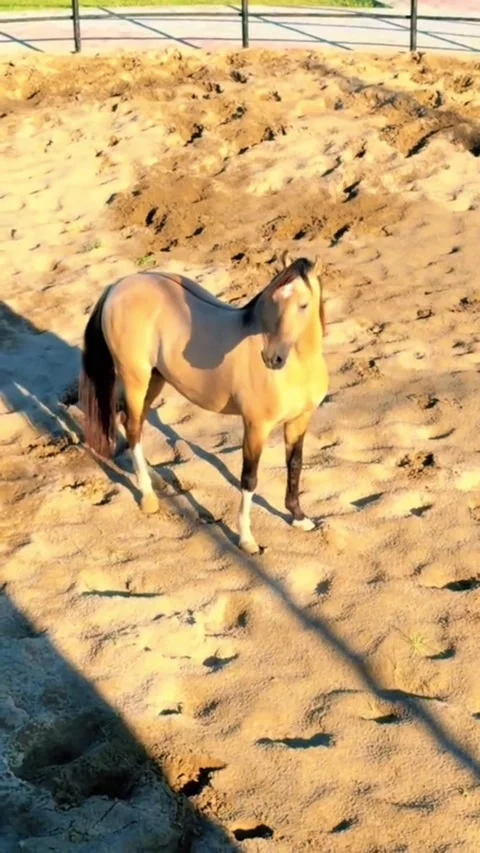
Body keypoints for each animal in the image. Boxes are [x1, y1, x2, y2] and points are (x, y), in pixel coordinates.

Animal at [80, 253, 328, 555]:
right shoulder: (256, 426)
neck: (299, 367)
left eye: (303, 305)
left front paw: (300, 518)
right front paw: (247, 540)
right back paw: (149, 498)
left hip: (155, 380)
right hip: (135, 379)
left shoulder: (299, 421)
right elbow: (249, 478)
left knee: (132, 426)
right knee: (134, 427)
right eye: (273, 300)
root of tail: (118, 286)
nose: (272, 358)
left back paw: (153, 480)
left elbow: (295, 465)